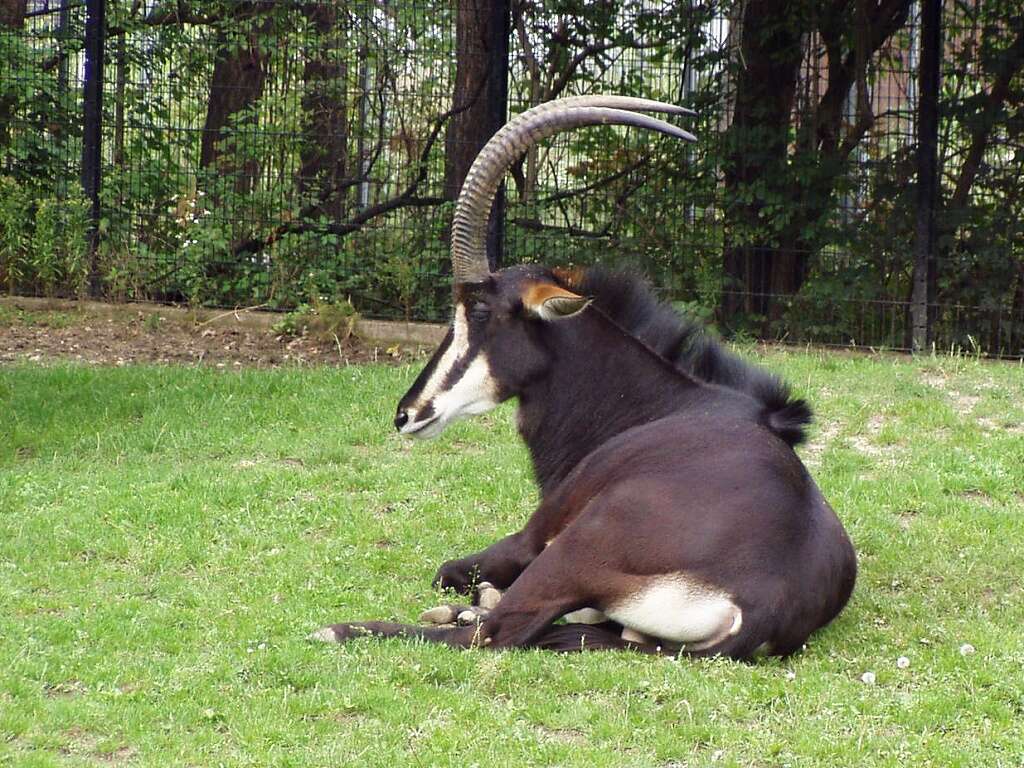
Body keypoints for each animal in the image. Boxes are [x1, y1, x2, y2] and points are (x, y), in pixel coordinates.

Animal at [313, 94, 856, 663]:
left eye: (479, 311)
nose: (407, 413)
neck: (659, 406)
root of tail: (758, 609)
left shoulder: (532, 536)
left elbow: (450, 572)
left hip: (573, 547)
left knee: (493, 632)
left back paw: (348, 628)